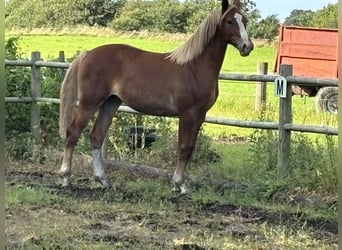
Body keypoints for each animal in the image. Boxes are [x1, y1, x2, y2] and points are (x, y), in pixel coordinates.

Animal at [58, 0, 251, 193]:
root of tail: (87, 54)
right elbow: (183, 147)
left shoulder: (200, 115)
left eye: (245, 20)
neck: (195, 68)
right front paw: (179, 184)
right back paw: (66, 177)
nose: (247, 47)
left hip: (109, 104)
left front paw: (181, 184)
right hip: (89, 103)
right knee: (73, 133)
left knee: (96, 136)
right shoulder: (187, 114)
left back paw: (103, 180)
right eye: (229, 21)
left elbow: (190, 148)